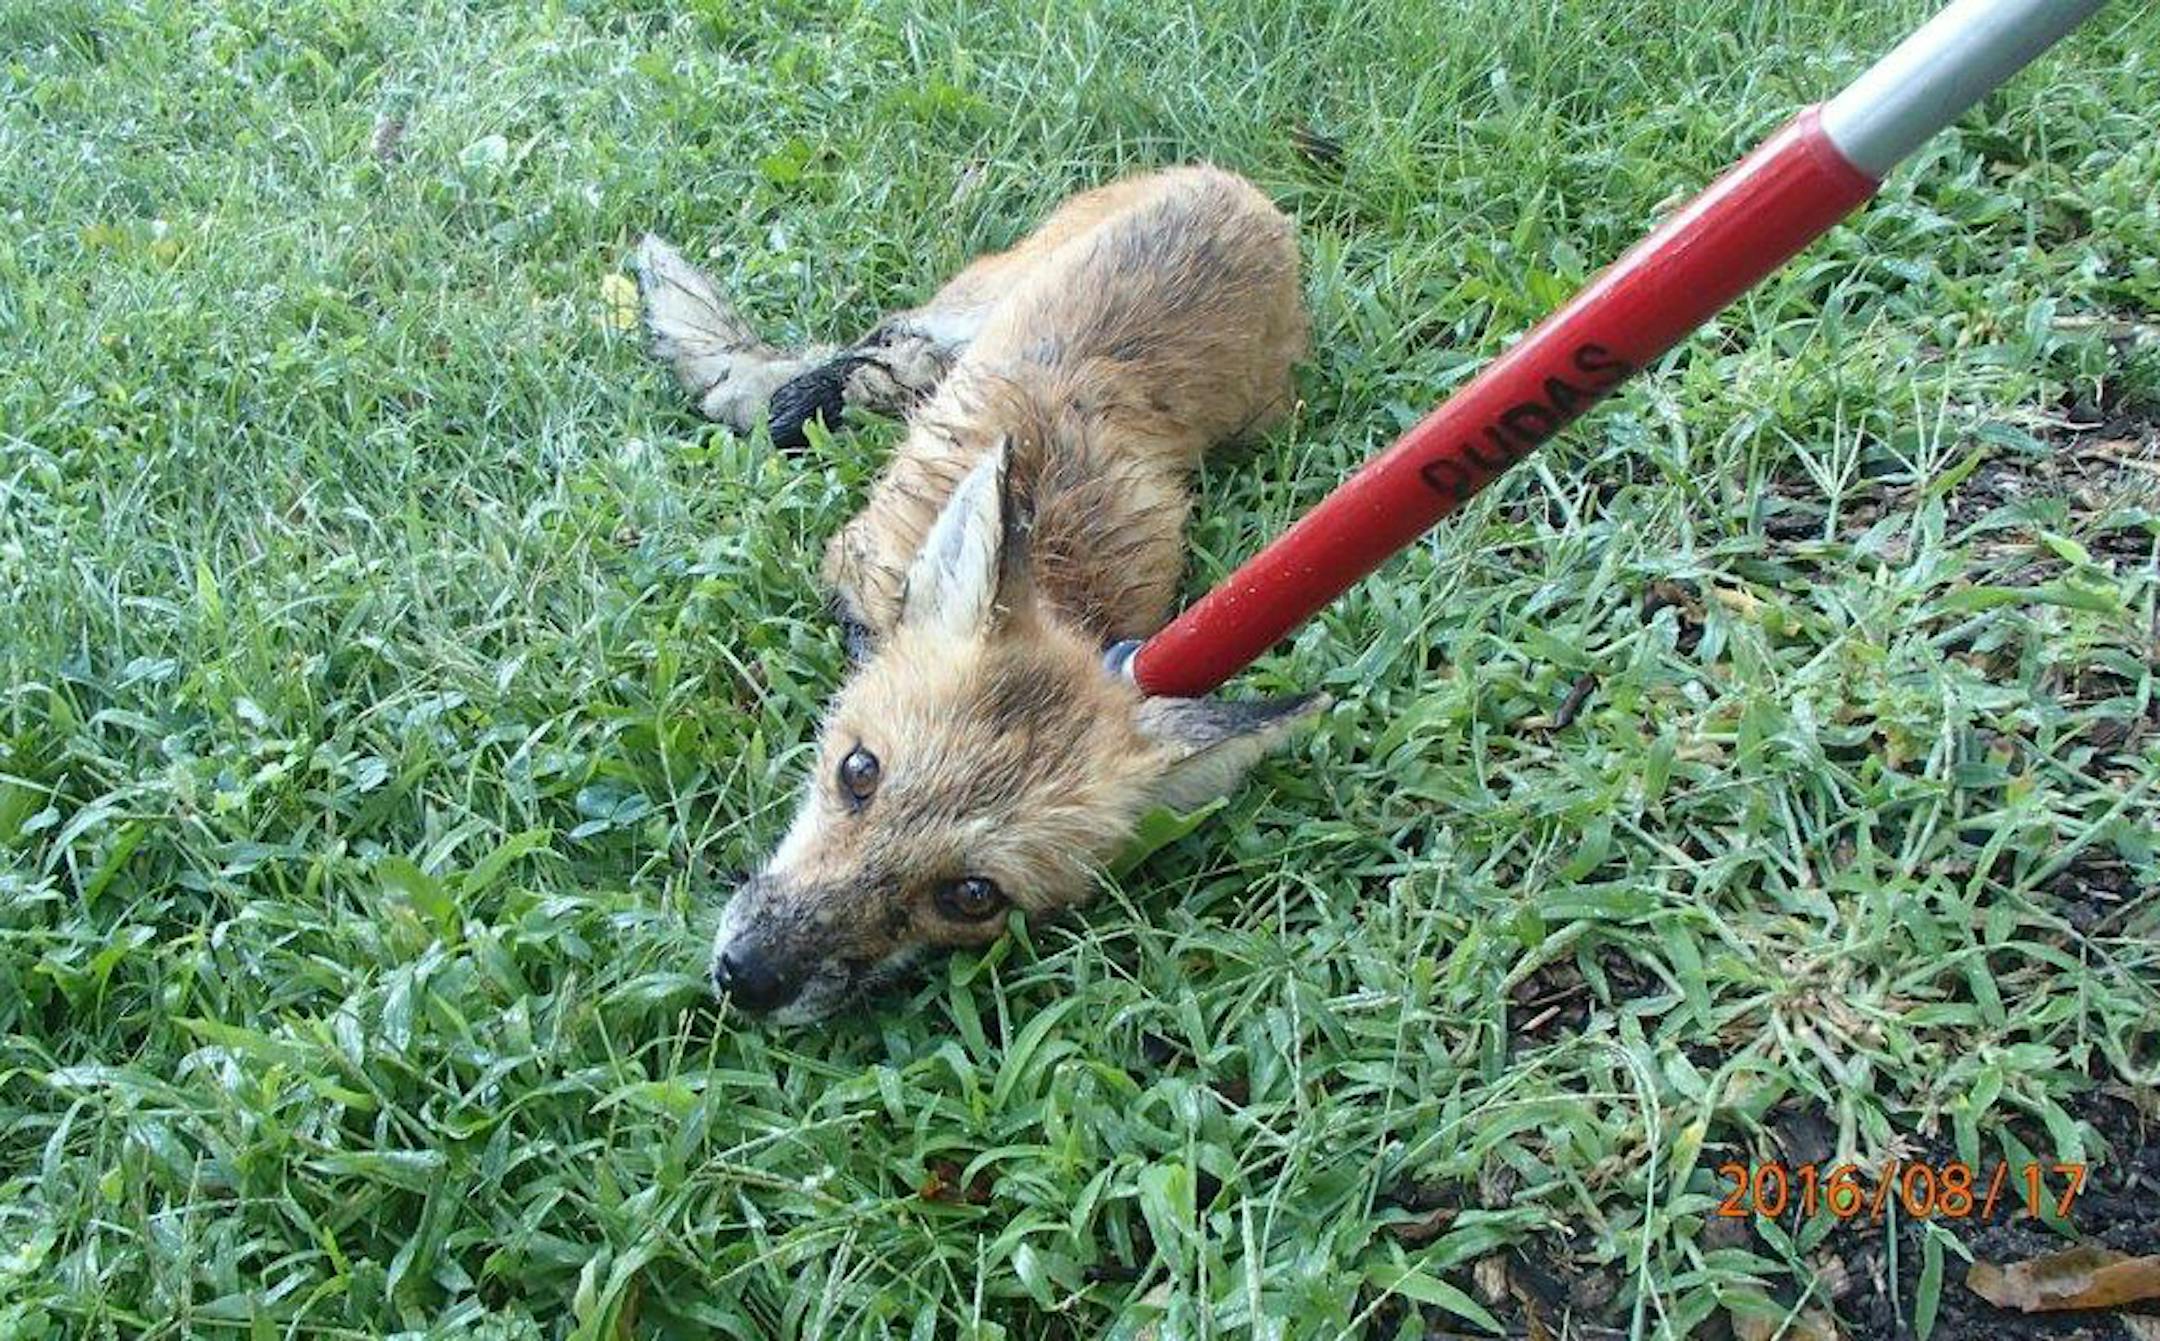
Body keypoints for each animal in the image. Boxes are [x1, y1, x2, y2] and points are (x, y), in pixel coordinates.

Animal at [634, 164, 1325, 1022]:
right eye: (857, 771)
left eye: (971, 896)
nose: (747, 974)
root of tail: (1232, 186)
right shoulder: (852, 561)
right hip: (970, 303)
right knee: (879, 350)